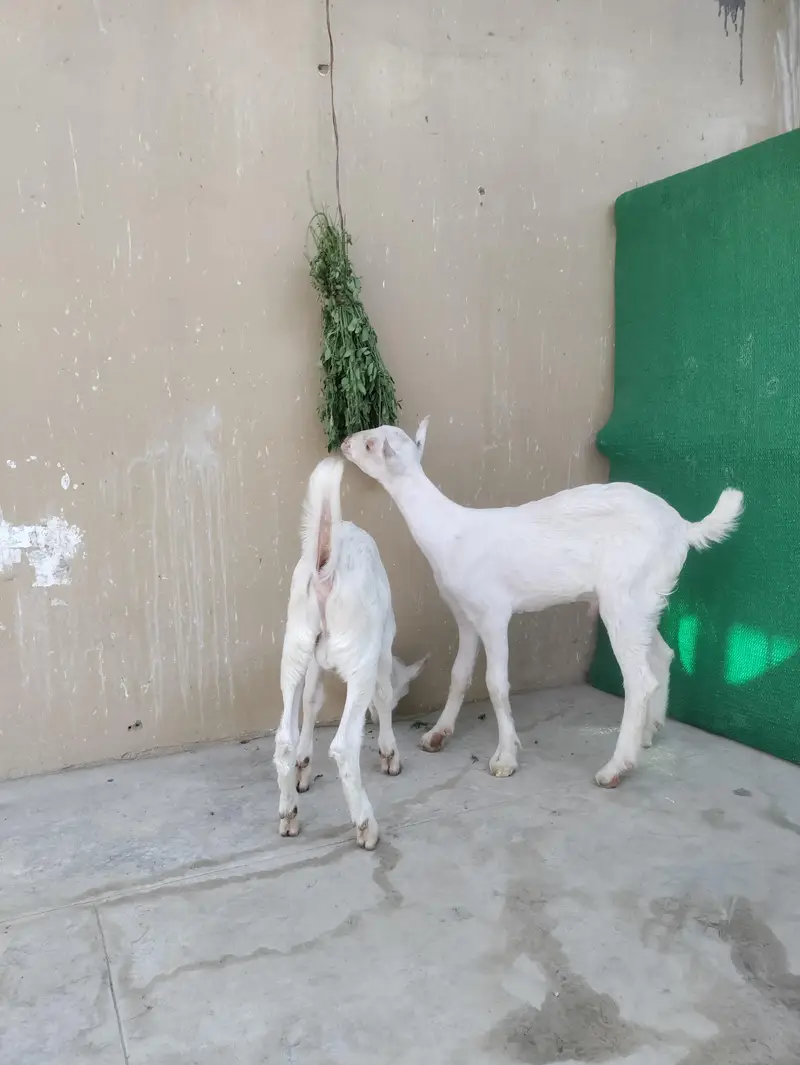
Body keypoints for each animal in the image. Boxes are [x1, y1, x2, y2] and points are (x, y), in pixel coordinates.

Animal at [274, 456, 427, 849]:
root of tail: (325, 572)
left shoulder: (314, 661)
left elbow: (312, 700)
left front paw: (304, 767)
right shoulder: (381, 648)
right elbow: (384, 693)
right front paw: (390, 754)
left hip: (294, 647)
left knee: (284, 738)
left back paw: (289, 814)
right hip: (359, 658)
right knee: (344, 746)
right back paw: (365, 826)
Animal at [341, 419, 743, 788]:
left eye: (371, 444)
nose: (344, 443)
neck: (449, 532)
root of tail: (683, 528)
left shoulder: (494, 613)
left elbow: (496, 684)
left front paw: (505, 758)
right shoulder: (465, 614)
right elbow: (458, 675)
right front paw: (437, 734)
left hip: (624, 596)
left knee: (640, 680)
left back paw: (615, 768)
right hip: (643, 600)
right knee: (661, 654)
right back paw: (647, 734)